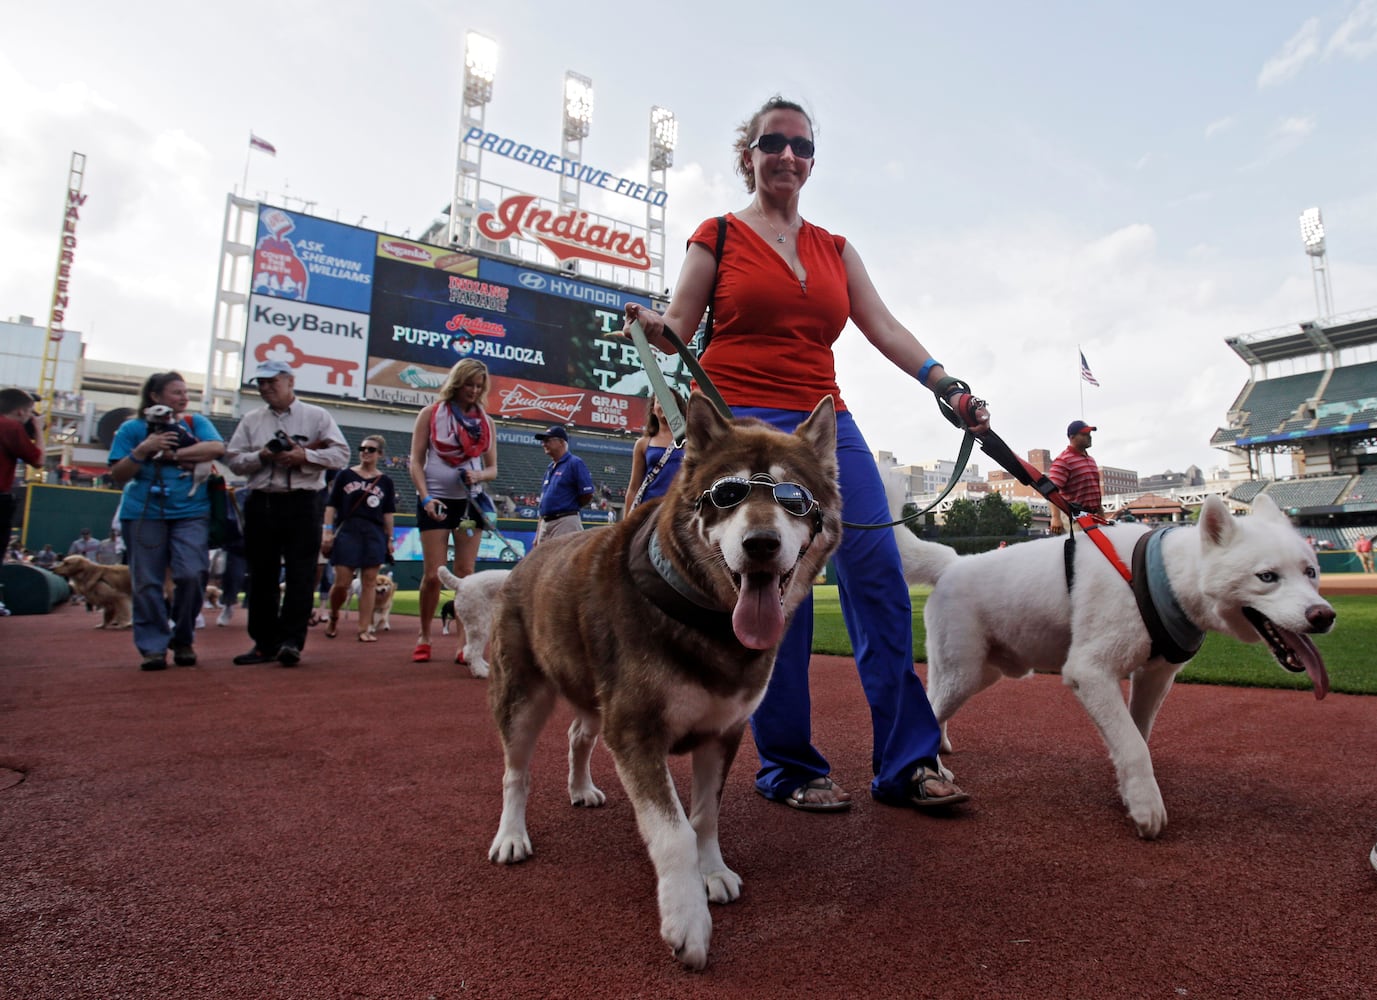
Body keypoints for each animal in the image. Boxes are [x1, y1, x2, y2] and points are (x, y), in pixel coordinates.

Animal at [490, 396, 842, 969]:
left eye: (793, 498)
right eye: (727, 493)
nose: (761, 544)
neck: (705, 618)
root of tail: (532, 554)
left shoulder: (723, 731)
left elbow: (704, 816)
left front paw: (712, 872)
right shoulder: (635, 729)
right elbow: (674, 830)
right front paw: (687, 922)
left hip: (592, 691)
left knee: (578, 734)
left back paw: (581, 788)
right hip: (521, 696)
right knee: (515, 773)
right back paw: (511, 836)